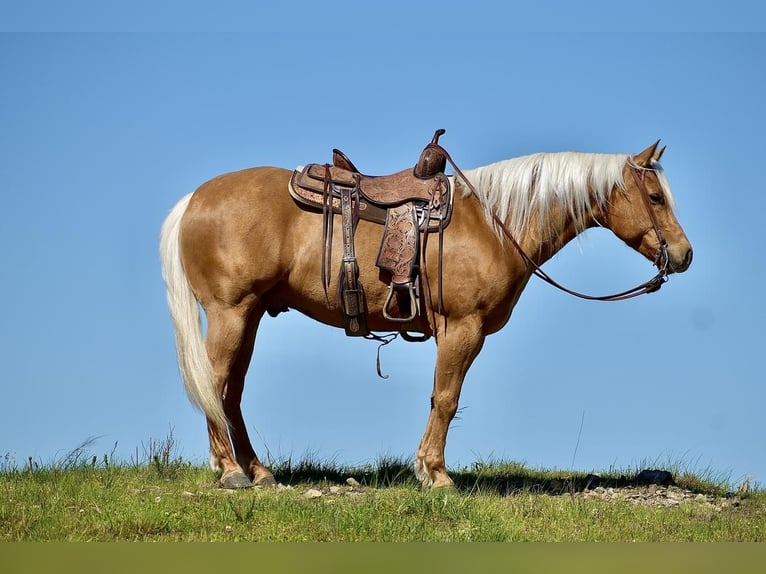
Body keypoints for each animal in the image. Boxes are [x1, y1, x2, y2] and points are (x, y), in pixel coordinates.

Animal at [160, 136, 696, 490]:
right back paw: (231, 471)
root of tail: (194, 200)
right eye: (654, 197)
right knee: (215, 384)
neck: (493, 224)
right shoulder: (463, 329)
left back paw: (258, 471)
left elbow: (441, 398)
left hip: (248, 317)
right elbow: (446, 399)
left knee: (230, 393)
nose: (685, 254)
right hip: (231, 314)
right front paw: (435, 474)